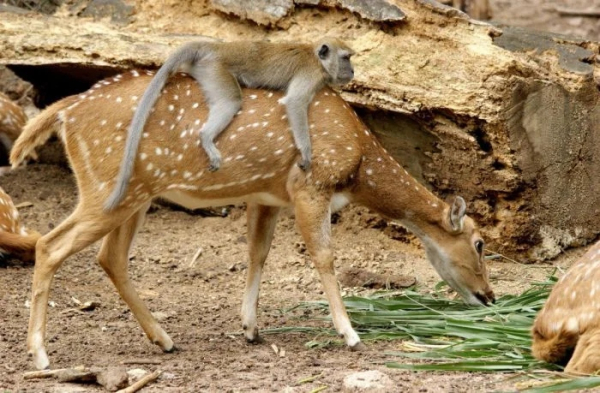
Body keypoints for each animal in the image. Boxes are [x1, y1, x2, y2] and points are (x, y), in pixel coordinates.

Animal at [11, 69, 494, 370]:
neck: (359, 162)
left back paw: (164, 339)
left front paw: (250, 329)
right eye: (479, 244)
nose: (489, 297)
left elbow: (257, 254)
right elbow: (324, 257)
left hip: (133, 195)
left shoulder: (268, 196)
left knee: (109, 257)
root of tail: (65, 111)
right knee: (49, 244)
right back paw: (40, 355)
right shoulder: (310, 184)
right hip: (109, 186)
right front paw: (350, 333)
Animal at [105, 37, 354, 211]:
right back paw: (206, 138)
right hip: (216, 70)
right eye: (346, 58)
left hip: (206, 71)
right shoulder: (311, 74)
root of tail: (217, 48)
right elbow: (294, 102)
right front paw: (306, 153)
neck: (317, 58)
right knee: (231, 100)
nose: (353, 70)